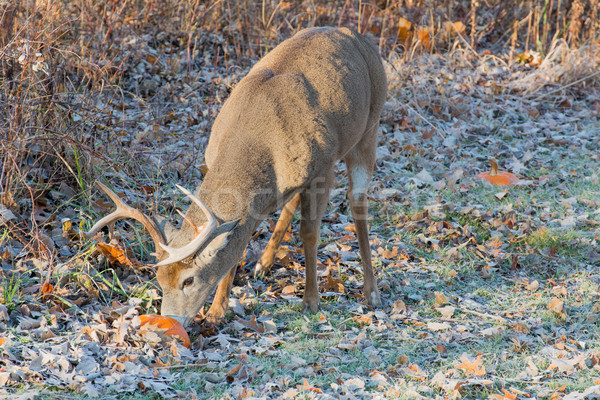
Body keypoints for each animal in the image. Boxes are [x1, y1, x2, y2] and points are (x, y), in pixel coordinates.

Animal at [85, 27, 390, 328]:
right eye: (159, 278)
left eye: (189, 280)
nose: (169, 320)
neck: (261, 142)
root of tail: (355, 35)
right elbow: (238, 245)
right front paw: (217, 310)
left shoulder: (323, 170)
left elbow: (309, 233)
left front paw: (311, 302)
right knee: (294, 204)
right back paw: (263, 264)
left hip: (370, 127)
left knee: (358, 201)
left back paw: (372, 292)